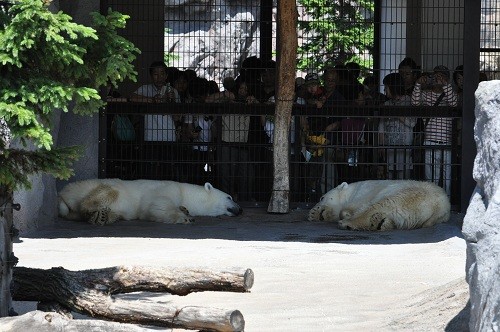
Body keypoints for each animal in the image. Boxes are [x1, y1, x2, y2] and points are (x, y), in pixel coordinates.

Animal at [58, 179, 242, 226]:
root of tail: (63, 192)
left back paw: (106, 216)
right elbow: (158, 206)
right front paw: (185, 217)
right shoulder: (168, 189)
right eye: (229, 197)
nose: (240, 209)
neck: (187, 193)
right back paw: (96, 214)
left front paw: (185, 211)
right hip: (92, 187)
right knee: (107, 192)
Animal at [306, 179, 452, 231]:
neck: (351, 191)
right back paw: (381, 222)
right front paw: (316, 214)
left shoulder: (364, 193)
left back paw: (348, 223)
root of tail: (440, 208)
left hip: (409, 194)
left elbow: (353, 208)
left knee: (379, 205)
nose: (315, 205)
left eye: (322, 197)